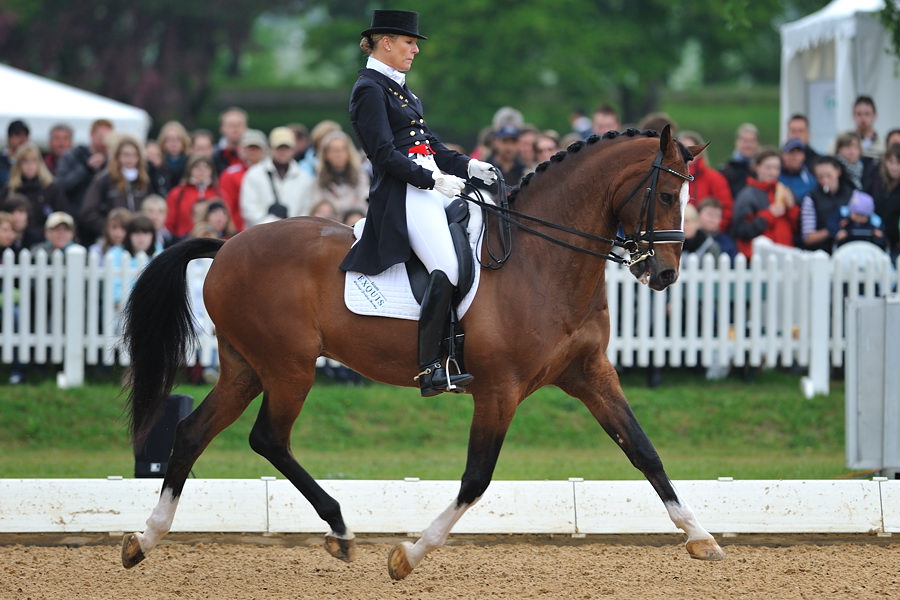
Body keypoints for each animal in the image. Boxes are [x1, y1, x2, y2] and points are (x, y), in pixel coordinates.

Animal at [119, 125, 726, 580]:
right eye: (666, 195)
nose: (664, 275)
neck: (542, 261)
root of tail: (228, 245)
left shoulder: (591, 374)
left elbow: (644, 451)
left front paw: (702, 538)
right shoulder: (499, 391)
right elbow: (476, 479)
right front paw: (408, 555)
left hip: (247, 368)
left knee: (192, 432)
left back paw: (144, 540)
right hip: (288, 368)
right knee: (268, 438)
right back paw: (340, 529)